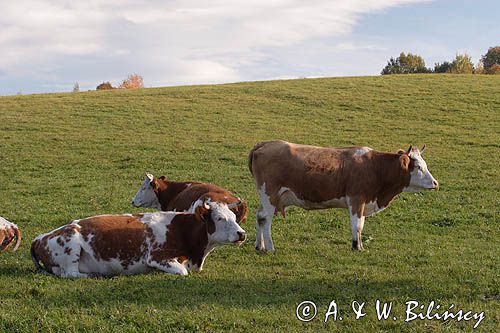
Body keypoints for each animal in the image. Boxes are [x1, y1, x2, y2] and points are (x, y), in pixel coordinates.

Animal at [30, 198, 246, 276]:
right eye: (219, 218)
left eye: (234, 217)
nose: (242, 234)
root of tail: (40, 237)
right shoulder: (157, 257)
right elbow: (182, 271)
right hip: (71, 244)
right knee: (71, 274)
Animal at [249, 139, 438, 250]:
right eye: (419, 167)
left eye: (425, 164)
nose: (435, 183)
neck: (375, 167)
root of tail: (264, 144)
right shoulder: (356, 200)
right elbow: (357, 225)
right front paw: (357, 246)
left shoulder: (363, 202)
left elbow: (361, 225)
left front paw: (359, 244)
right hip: (270, 194)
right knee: (266, 218)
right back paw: (270, 247)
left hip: (266, 197)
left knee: (259, 216)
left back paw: (260, 246)